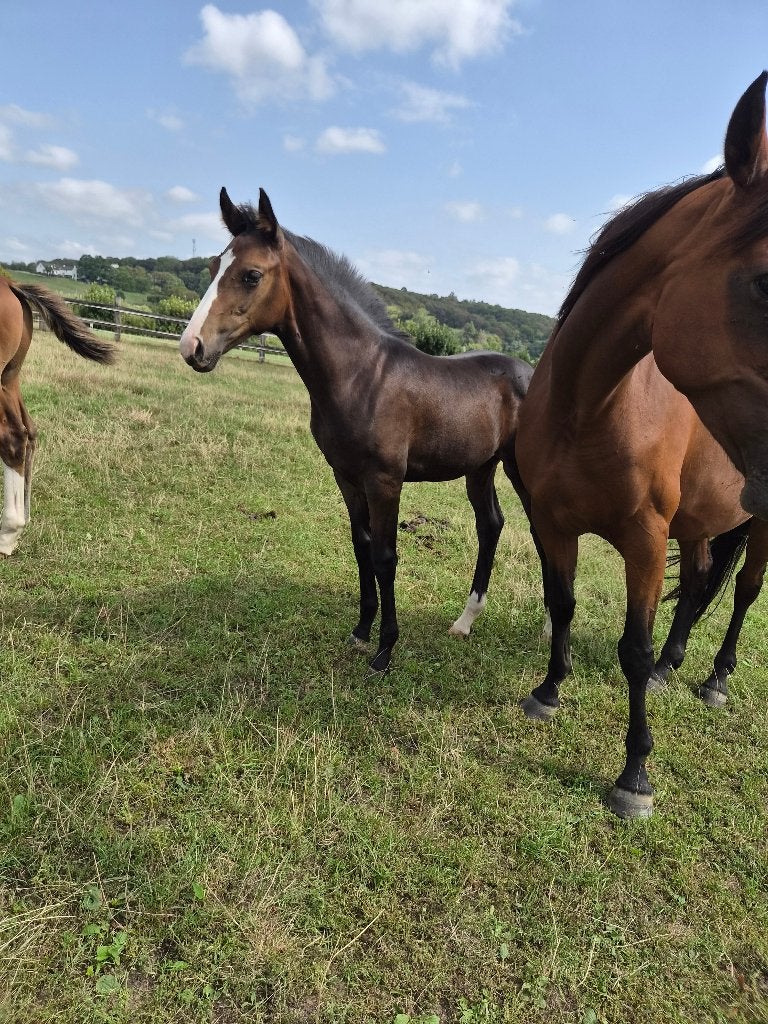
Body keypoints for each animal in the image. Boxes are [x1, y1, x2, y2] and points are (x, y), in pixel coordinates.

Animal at [179, 187, 539, 673]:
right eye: (213, 267)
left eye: (252, 275)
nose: (192, 347)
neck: (361, 375)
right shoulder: (346, 477)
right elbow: (360, 546)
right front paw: (361, 631)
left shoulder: (384, 481)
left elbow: (385, 556)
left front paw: (385, 649)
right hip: (480, 467)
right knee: (491, 524)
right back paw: (465, 622)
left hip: (520, 468)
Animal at [515, 71, 768, 819]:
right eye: (766, 281)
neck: (588, 409)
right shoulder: (553, 524)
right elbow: (563, 606)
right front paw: (548, 691)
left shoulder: (646, 541)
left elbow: (632, 643)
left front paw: (634, 775)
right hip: (703, 521)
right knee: (702, 584)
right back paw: (671, 667)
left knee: (743, 592)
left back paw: (713, 679)